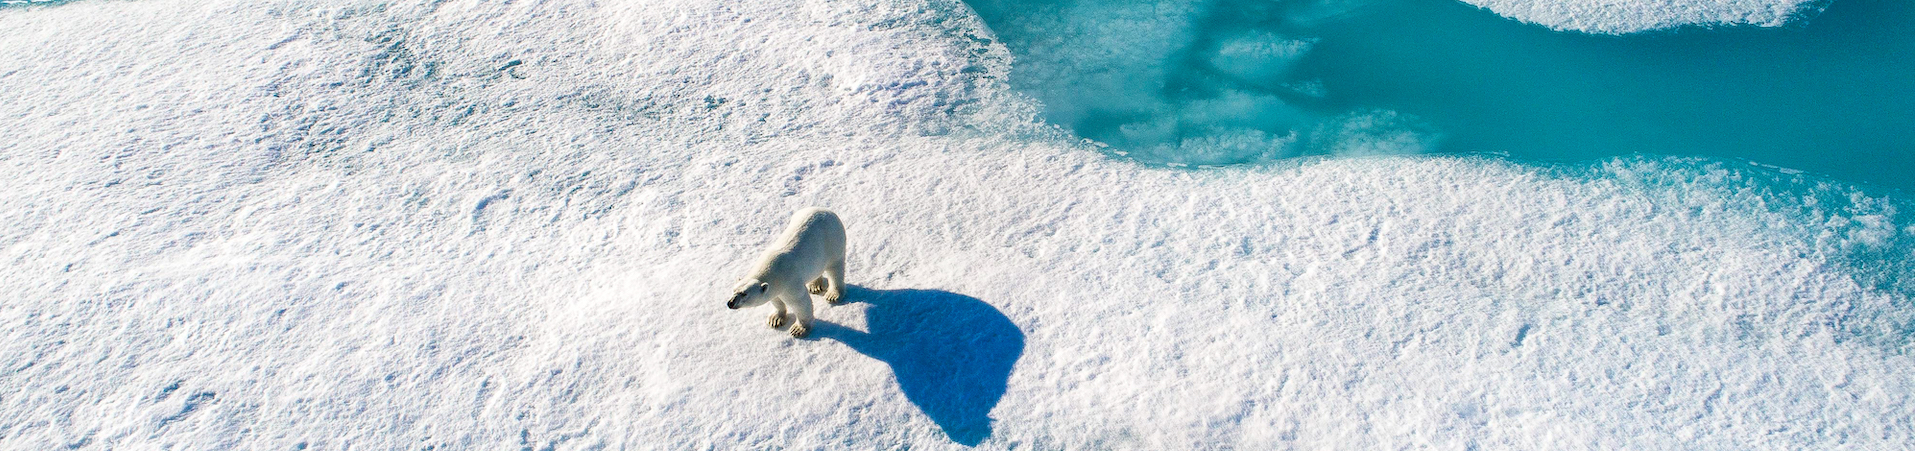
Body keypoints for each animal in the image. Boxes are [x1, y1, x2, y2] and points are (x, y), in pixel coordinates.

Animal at [724, 206, 847, 338]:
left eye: (744, 293)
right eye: (734, 290)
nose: (730, 303)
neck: (774, 271)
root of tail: (828, 211)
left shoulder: (790, 282)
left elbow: (800, 303)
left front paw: (799, 329)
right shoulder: (775, 287)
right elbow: (775, 299)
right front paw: (775, 319)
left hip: (833, 242)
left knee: (835, 269)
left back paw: (833, 295)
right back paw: (814, 286)